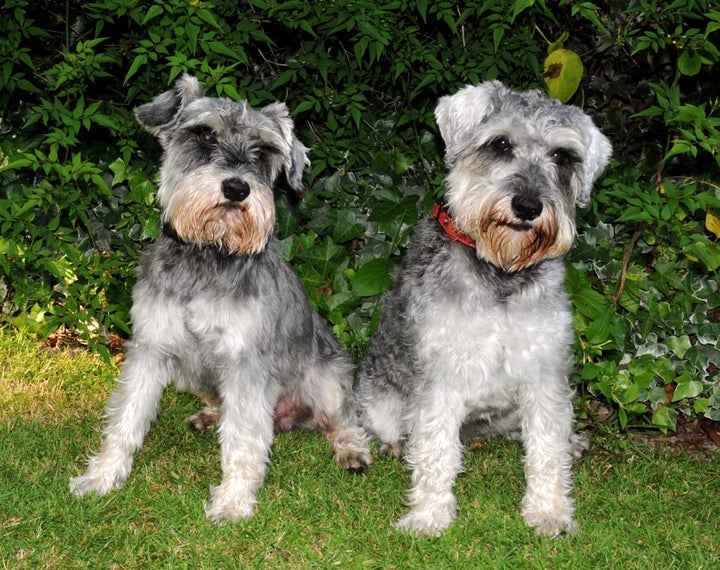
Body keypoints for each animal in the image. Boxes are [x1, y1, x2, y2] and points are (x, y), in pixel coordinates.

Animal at [70, 75, 372, 524]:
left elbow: (244, 439)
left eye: (263, 149)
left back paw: (352, 451)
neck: (209, 253)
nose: (236, 187)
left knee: (343, 420)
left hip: (329, 380)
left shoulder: (245, 363)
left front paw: (233, 501)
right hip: (190, 372)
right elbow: (125, 418)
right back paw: (210, 414)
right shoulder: (150, 349)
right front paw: (101, 476)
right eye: (204, 134)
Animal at [352, 81, 608, 536]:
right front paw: (429, 515)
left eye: (562, 156)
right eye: (500, 143)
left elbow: (546, 448)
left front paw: (549, 511)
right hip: (379, 399)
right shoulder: (441, 376)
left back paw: (571, 442)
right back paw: (397, 445)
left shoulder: (544, 374)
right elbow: (435, 450)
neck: (501, 272)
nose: (528, 206)